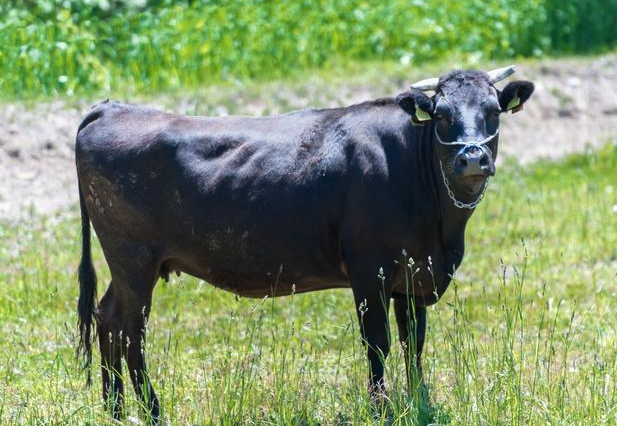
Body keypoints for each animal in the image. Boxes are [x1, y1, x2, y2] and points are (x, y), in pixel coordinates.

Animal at [76, 65, 528, 420]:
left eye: (493, 112)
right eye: (441, 115)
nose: (472, 158)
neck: (441, 230)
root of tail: (113, 108)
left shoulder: (416, 275)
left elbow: (412, 344)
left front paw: (419, 402)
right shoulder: (369, 270)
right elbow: (377, 343)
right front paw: (381, 410)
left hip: (130, 265)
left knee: (108, 318)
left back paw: (115, 410)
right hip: (134, 259)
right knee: (131, 332)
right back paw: (152, 411)